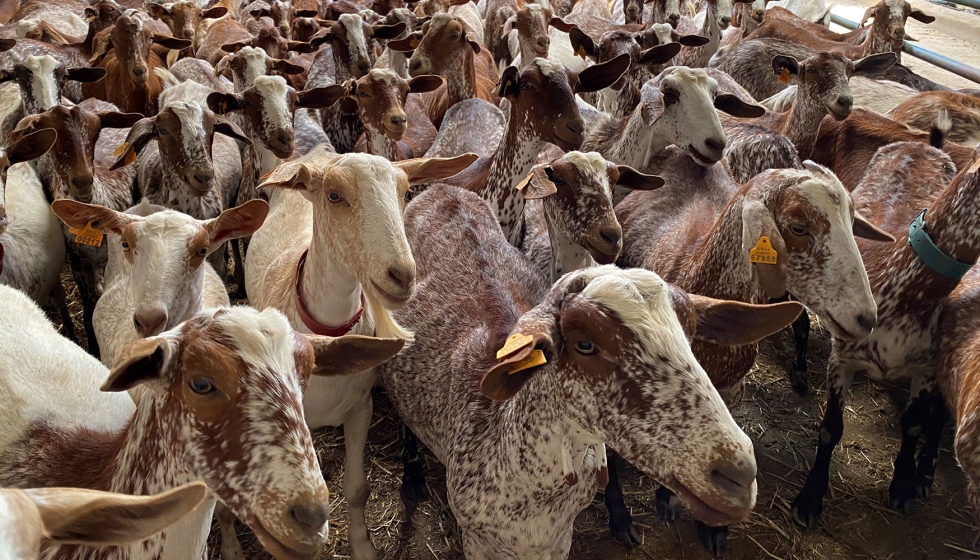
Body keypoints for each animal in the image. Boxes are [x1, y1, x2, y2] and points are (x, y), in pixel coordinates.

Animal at [8, 99, 142, 358]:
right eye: (52, 133)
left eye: (96, 131)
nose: (83, 181)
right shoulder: (78, 263)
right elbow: (89, 313)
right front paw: (92, 348)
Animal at [247, 149, 476, 560]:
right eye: (334, 196)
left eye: (405, 191)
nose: (402, 275)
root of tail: (315, 156)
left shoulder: (360, 408)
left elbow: (356, 489)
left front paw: (363, 545)